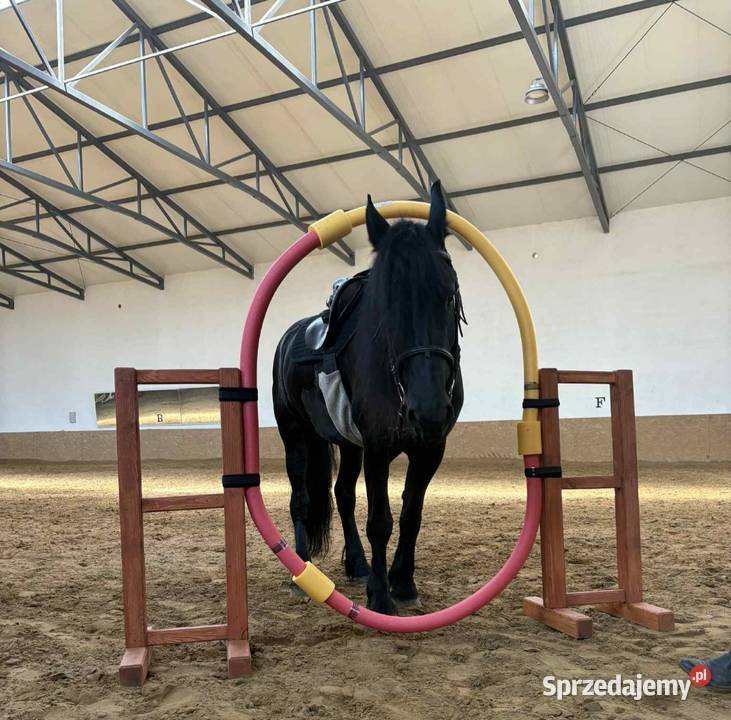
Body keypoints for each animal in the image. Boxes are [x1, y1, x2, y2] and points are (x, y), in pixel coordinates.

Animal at [272, 181, 465, 614]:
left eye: (448, 296)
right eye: (386, 305)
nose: (428, 411)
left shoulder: (432, 448)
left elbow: (411, 514)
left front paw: (403, 582)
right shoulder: (377, 447)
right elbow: (380, 519)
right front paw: (380, 595)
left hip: (349, 444)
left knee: (342, 494)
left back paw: (358, 564)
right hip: (295, 435)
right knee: (301, 498)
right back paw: (301, 570)